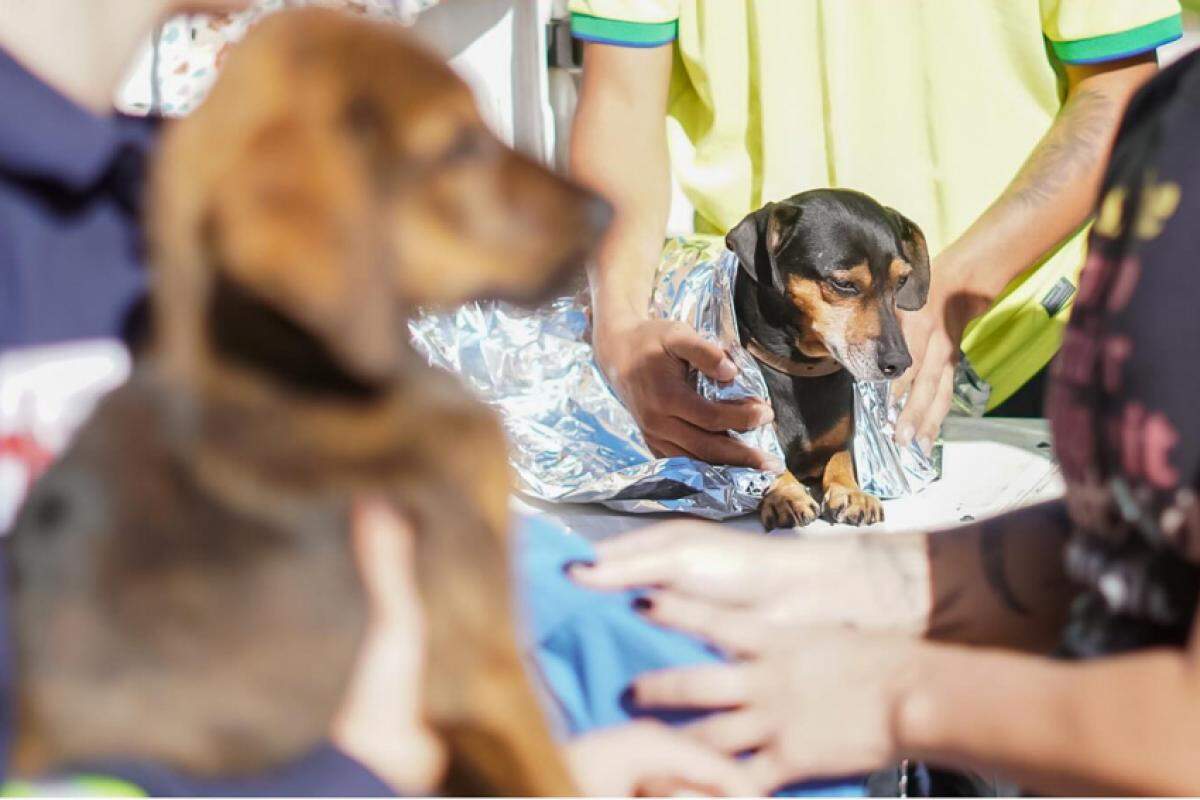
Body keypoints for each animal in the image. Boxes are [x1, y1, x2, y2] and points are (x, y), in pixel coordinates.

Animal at [724, 188, 931, 532]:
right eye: (843, 284)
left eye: (901, 281)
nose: (900, 362)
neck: (799, 371)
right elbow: (768, 463)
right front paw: (786, 495)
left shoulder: (841, 440)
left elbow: (843, 456)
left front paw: (851, 492)